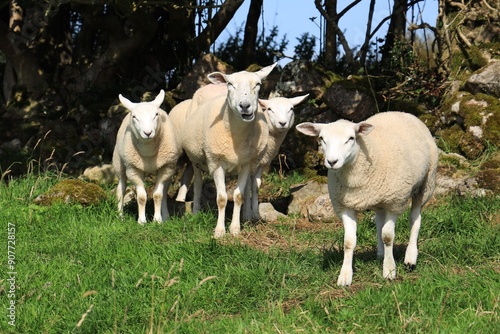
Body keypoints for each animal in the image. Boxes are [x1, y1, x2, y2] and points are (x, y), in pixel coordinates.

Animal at [113, 88, 182, 224]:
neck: (148, 152)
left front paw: (157, 220)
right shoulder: (133, 170)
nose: (148, 133)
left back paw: (166, 217)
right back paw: (120, 216)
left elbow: (158, 195)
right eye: (134, 117)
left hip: (169, 170)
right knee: (121, 189)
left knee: (164, 193)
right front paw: (141, 221)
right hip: (120, 164)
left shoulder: (166, 168)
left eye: (156, 115)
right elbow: (141, 197)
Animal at [180, 64, 278, 237]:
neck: (237, 137)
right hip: (196, 159)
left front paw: (235, 228)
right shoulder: (216, 163)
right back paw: (196, 211)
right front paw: (219, 231)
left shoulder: (245, 164)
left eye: (258, 84)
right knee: (197, 184)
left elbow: (239, 196)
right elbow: (221, 199)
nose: (245, 106)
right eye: (230, 84)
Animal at [294, 111, 440, 284]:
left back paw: (410, 257)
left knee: (415, 219)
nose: (332, 161)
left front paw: (389, 270)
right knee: (379, 222)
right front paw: (345, 276)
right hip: (380, 200)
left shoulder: (394, 203)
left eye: (351, 138)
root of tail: (399, 112)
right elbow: (349, 242)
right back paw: (381, 254)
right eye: (322, 138)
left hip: (426, 183)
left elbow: (388, 236)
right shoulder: (345, 206)